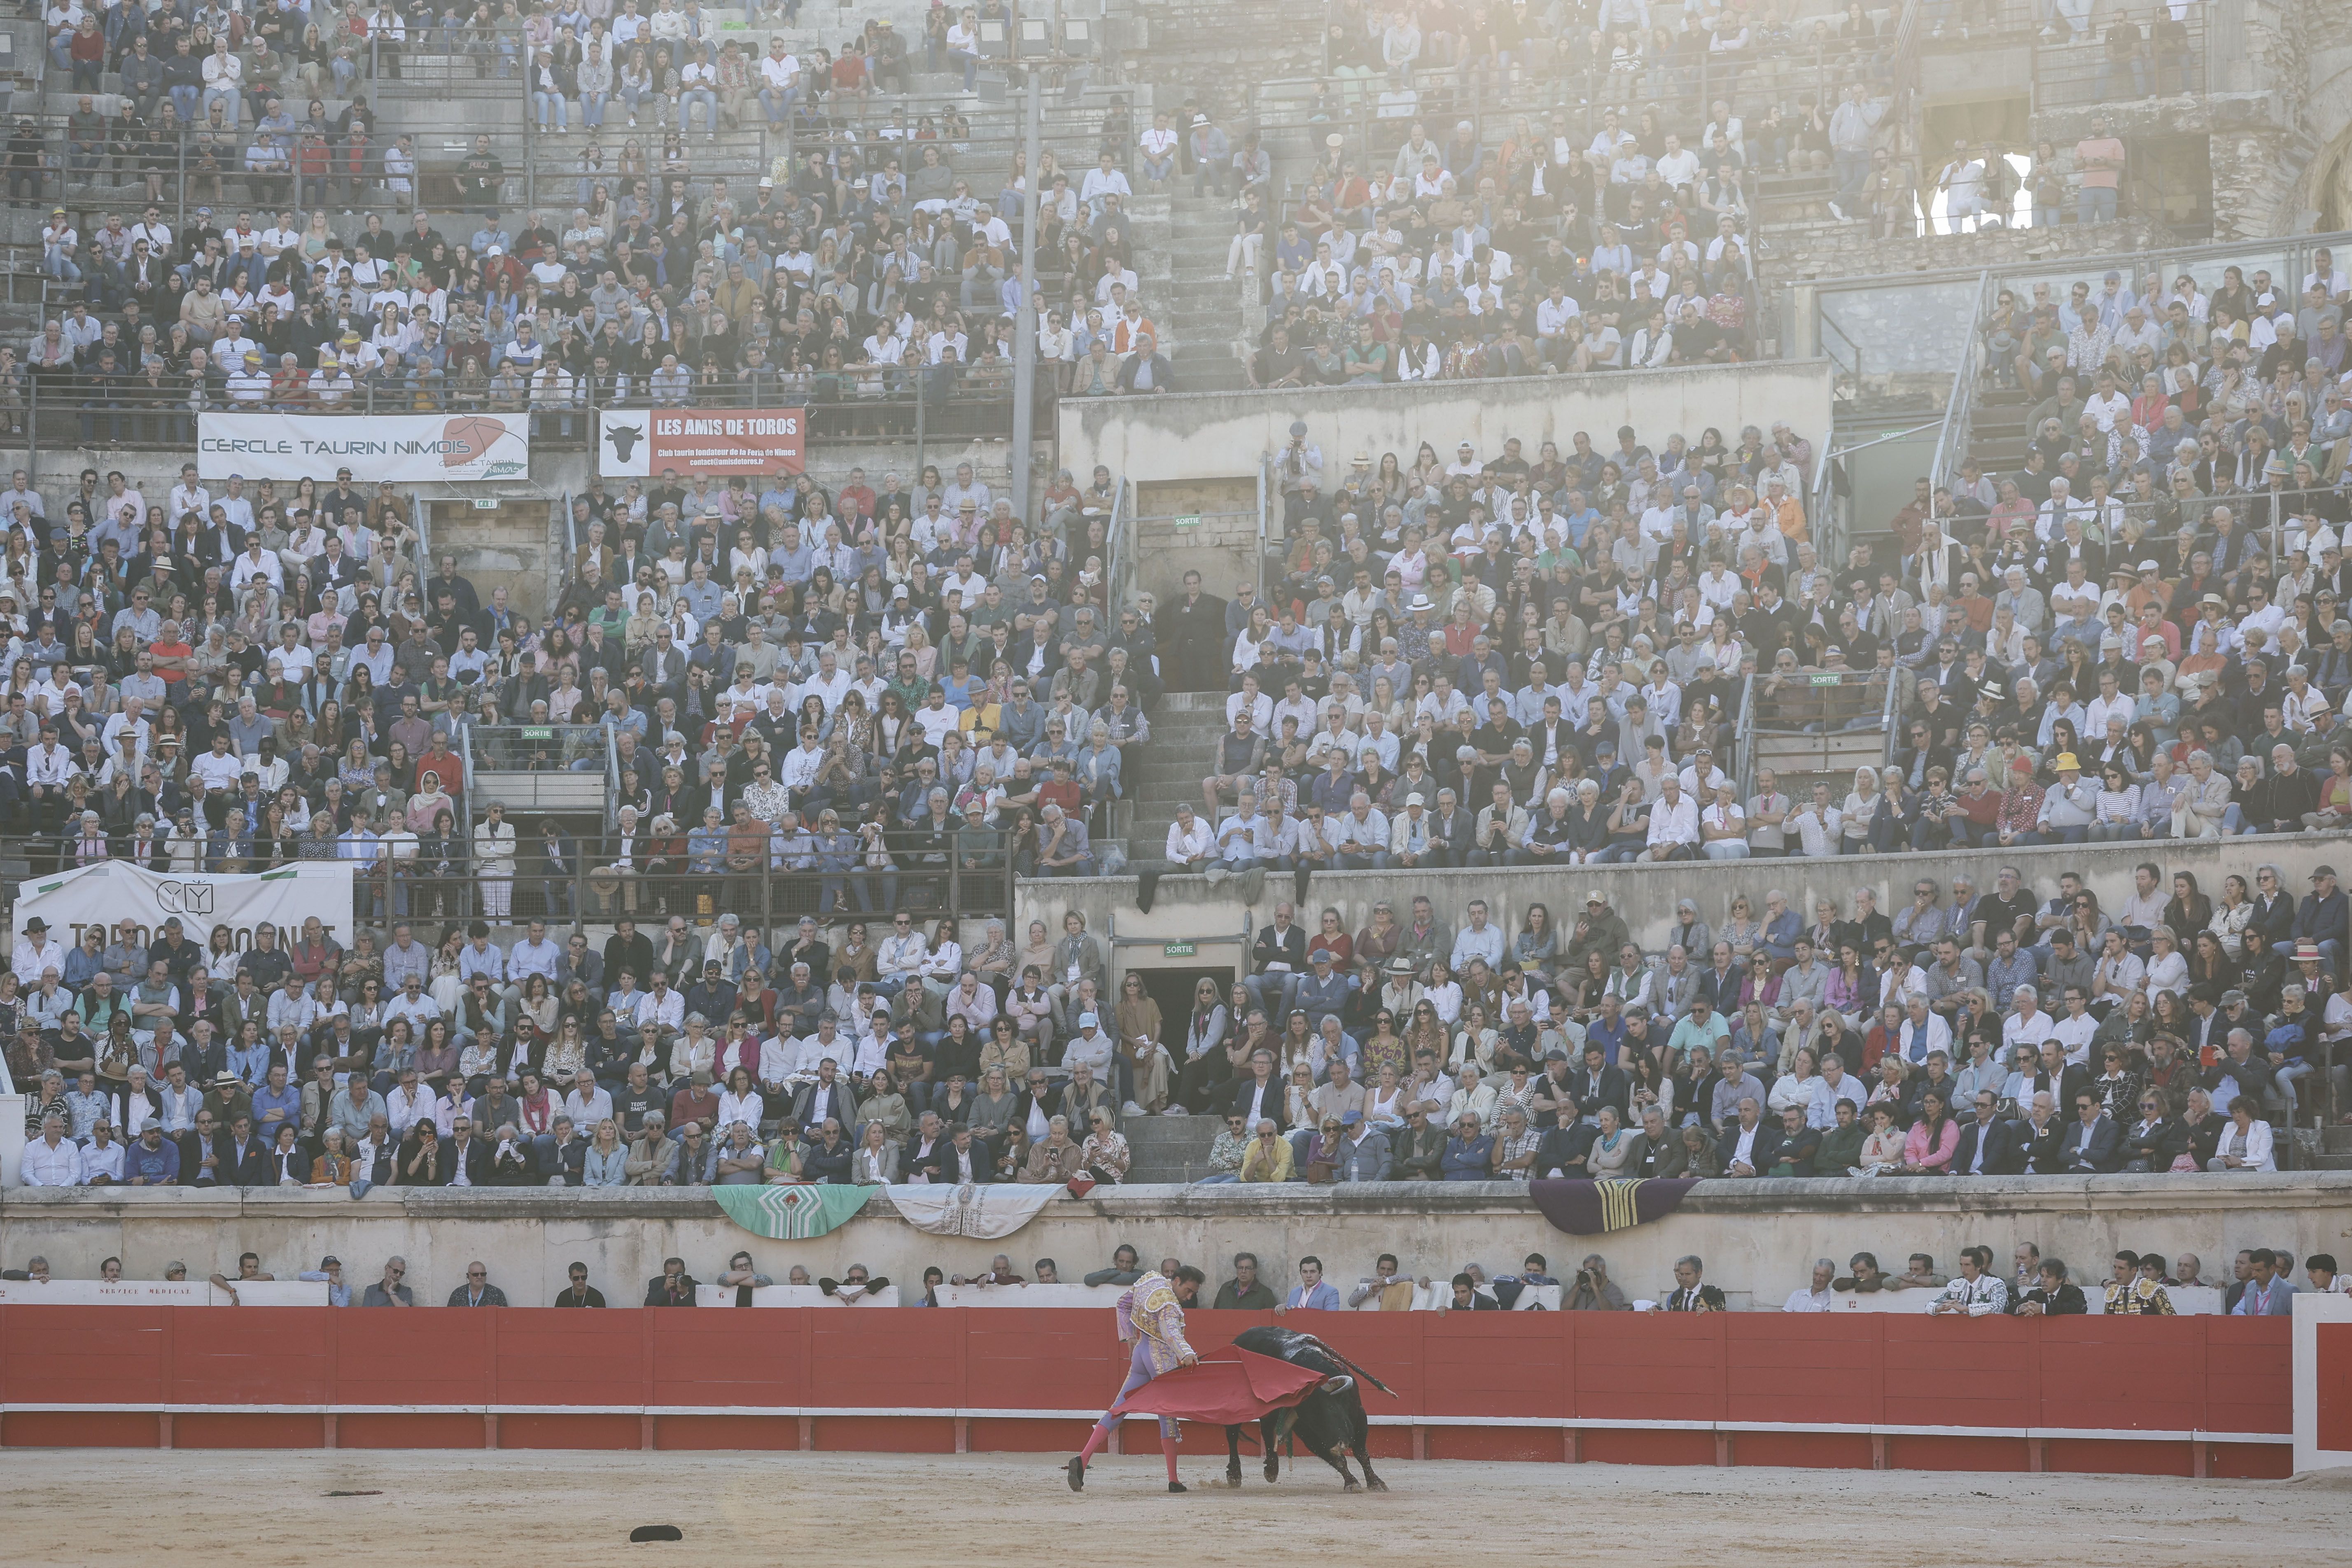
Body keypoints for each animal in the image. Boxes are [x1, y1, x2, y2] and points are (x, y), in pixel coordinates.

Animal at [1223, 1335, 1383, 1495]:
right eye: (1310, 1419)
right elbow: (1338, 1460)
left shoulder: (1360, 1415)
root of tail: (1237, 1340)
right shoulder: (1307, 1433)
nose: (1337, 1446)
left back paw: (1272, 1470)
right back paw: (1235, 1475)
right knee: (1233, 1434)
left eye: (1331, 1408)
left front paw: (1376, 1483)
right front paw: (1352, 1483)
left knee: (1266, 1430)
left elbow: (1361, 1454)